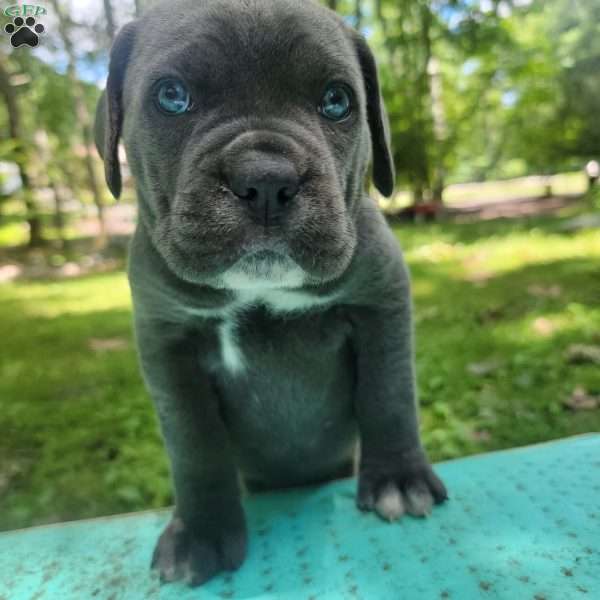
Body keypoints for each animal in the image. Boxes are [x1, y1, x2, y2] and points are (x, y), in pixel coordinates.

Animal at [95, 0, 446, 588]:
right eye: (172, 96)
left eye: (336, 101)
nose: (265, 179)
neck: (260, 291)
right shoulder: (167, 343)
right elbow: (194, 445)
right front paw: (201, 531)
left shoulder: (381, 302)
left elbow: (390, 393)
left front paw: (399, 478)